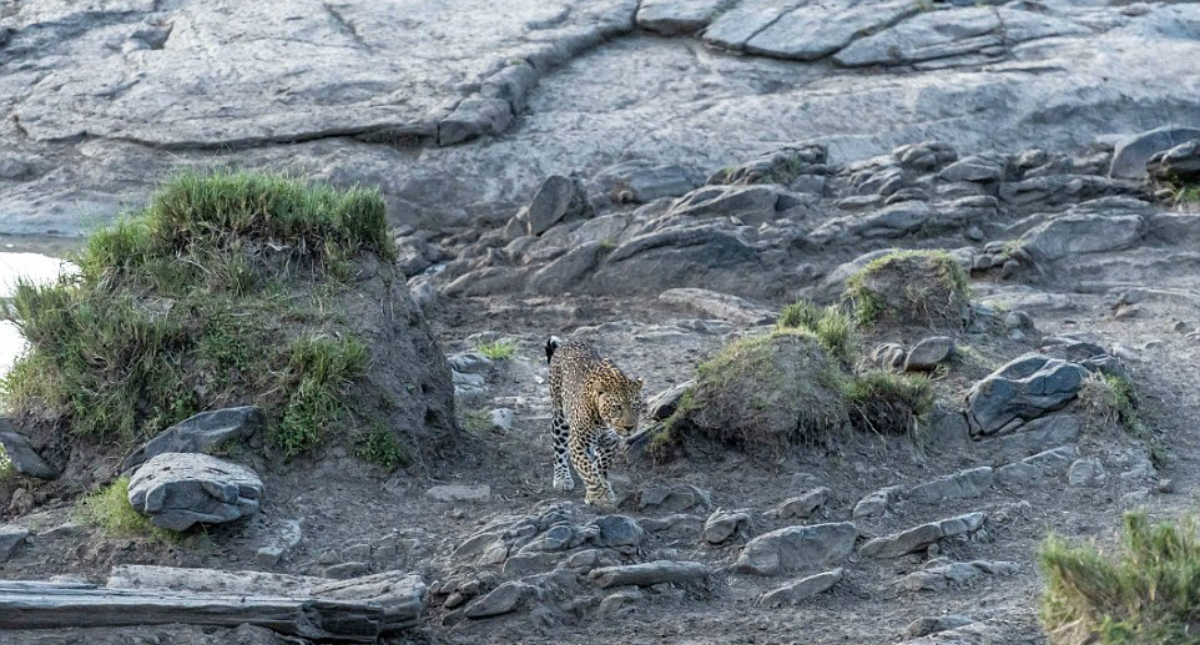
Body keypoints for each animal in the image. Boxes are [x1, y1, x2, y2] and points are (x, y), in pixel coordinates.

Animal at [545, 336, 645, 507]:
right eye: (617, 407)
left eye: (636, 406)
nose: (629, 428)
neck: (604, 423)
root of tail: (566, 343)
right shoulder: (577, 443)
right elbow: (587, 469)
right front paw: (599, 494)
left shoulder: (610, 442)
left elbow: (599, 467)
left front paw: (599, 490)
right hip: (559, 416)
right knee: (559, 448)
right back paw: (562, 478)